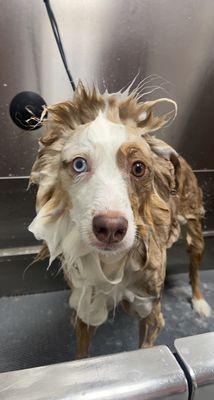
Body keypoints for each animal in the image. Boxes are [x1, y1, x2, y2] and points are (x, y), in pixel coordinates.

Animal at [28, 79, 211, 358]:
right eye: (79, 164)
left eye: (139, 167)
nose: (111, 228)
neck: (112, 264)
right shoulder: (85, 305)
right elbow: (81, 354)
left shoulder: (151, 313)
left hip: (195, 231)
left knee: (194, 269)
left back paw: (200, 301)